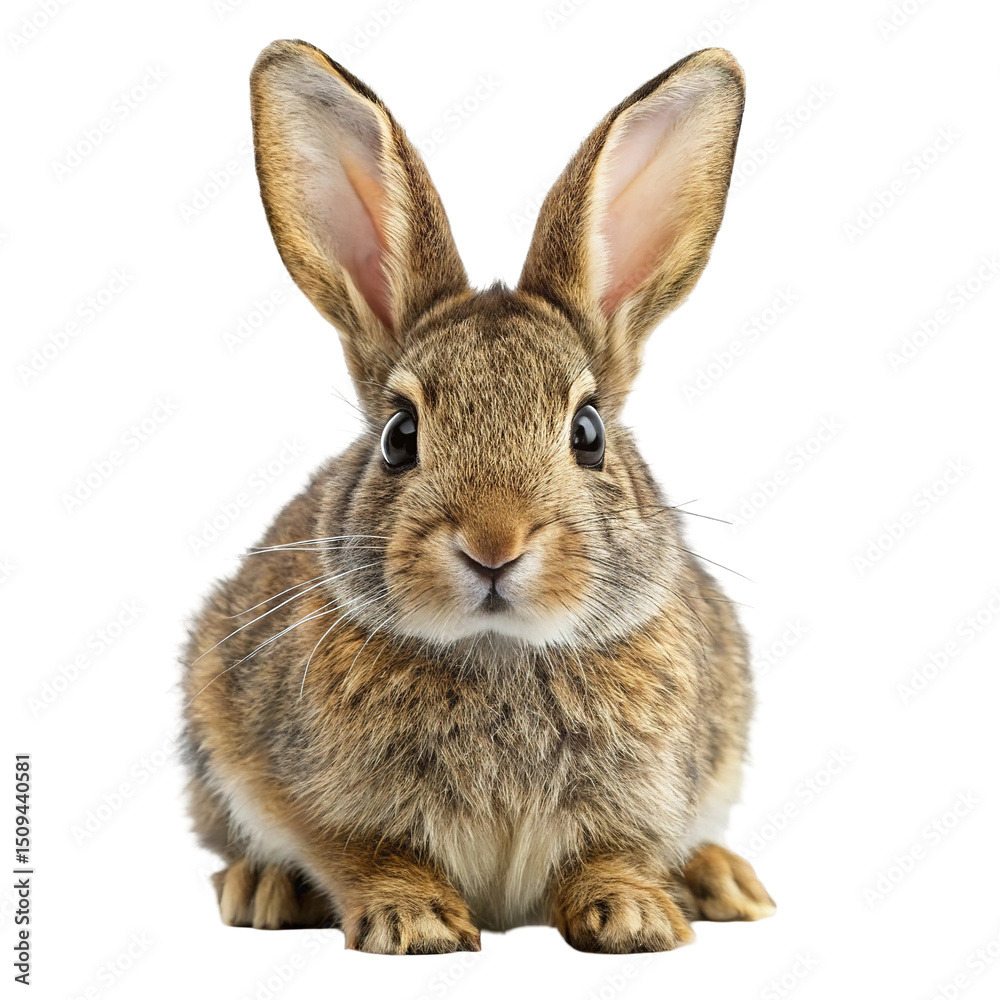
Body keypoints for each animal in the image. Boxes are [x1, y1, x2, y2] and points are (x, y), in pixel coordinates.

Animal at [181, 38, 775, 954]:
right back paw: (263, 889)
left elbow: (614, 854)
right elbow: (366, 854)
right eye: (399, 436)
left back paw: (724, 881)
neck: (498, 652)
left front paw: (635, 916)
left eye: (588, 432)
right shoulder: (318, 799)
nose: (494, 544)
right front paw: (414, 921)